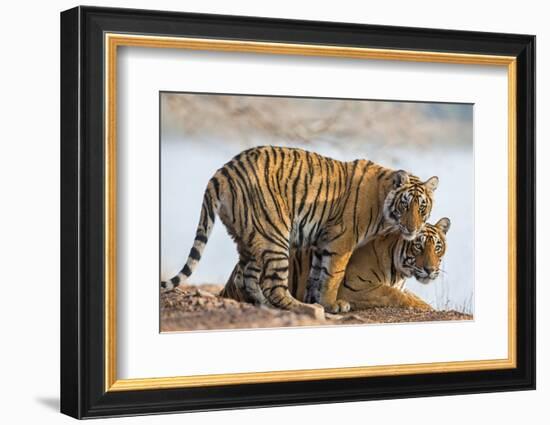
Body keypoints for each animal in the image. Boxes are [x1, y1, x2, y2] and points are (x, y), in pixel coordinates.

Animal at [224, 217, 452, 310]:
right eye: (418, 246)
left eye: (437, 247)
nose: (430, 270)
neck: (399, 273)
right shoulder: (354, 288)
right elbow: (394, 294)